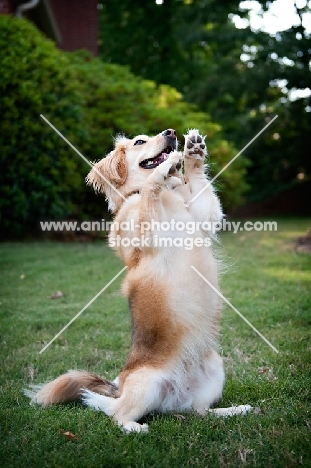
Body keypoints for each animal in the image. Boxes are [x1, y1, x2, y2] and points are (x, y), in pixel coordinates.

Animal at [25, 130, 252, 434]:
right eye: (140, 142)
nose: (171, 133)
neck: (167, 196)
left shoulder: (204, 217)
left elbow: (199, 188)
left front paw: (193, 153)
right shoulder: (147, 232)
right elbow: (150, 190)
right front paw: (163, 169)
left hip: (215, 367)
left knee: (201, 412)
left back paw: (235, 410)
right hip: (147, 384)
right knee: (116, 414)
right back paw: (136, 427)